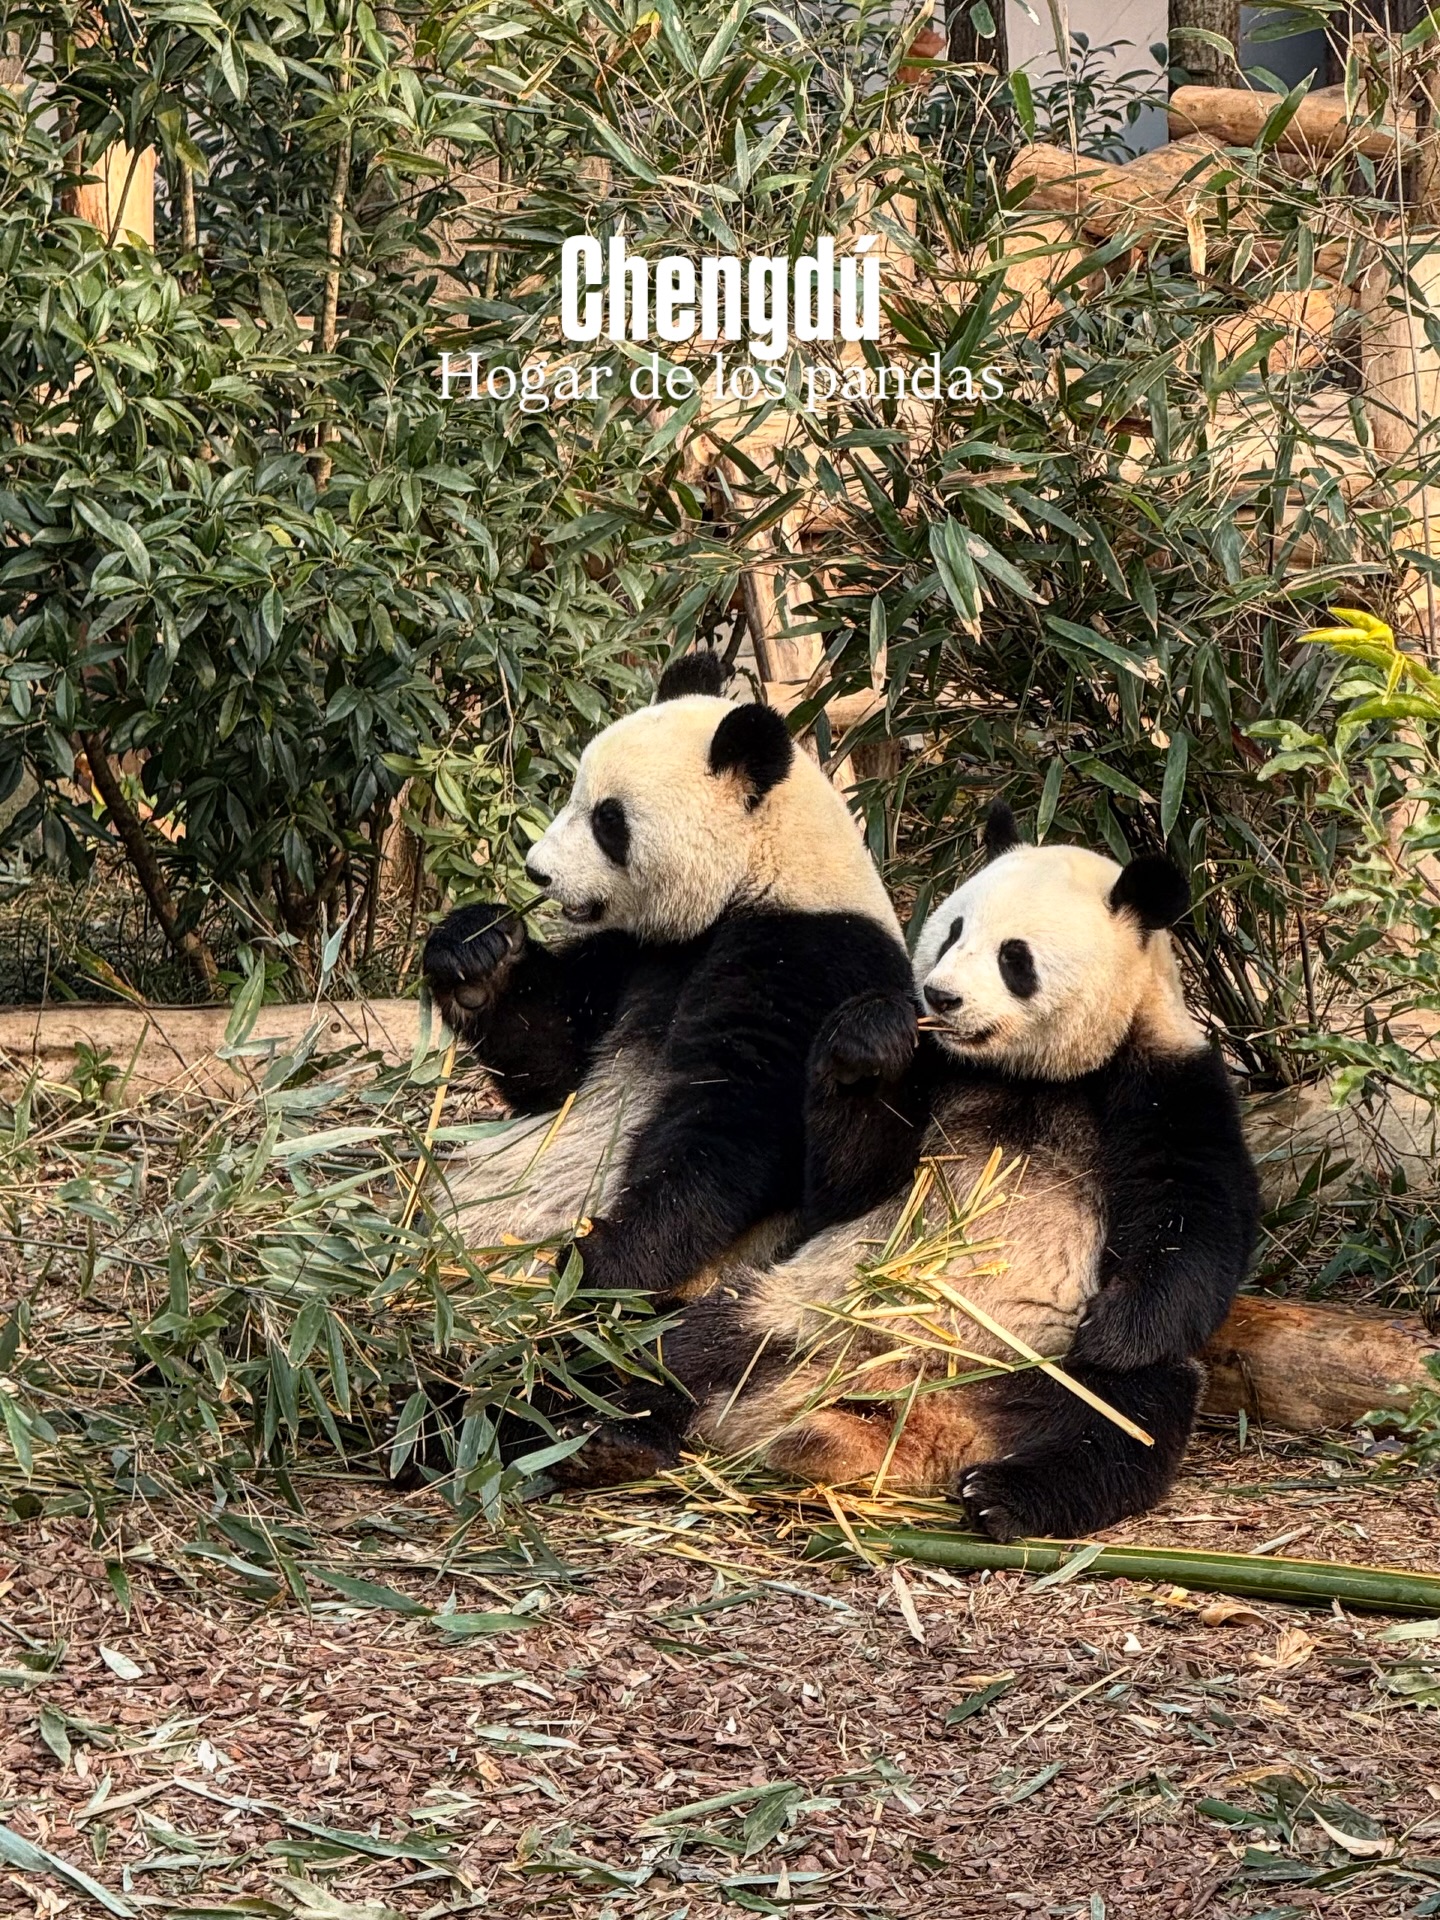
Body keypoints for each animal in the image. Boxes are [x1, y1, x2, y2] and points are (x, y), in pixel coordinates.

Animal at [422, 652, 914, 1349]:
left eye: (608, 820)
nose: (538, 871)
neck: (761, 874)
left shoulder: (810, 959)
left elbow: (733, 1124)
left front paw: (603, 1261)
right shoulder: (640, 955)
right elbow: (557, 1067)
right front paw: (475, 952)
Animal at [660, 801, 1260, 1540]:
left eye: (1015, 957)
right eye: (951, 932)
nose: (940, 997)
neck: (1027, 1075)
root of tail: (923, 1416)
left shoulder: (1166, 1076)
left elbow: (1196, 1223)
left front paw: (1114, 1329)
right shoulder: (935, 1069)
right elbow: (846, 1188)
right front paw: (870, 1041)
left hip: (1037, 1364)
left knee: (1124, 1421)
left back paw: (1004, 1495)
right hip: (795, 1312)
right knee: (672, 1356)